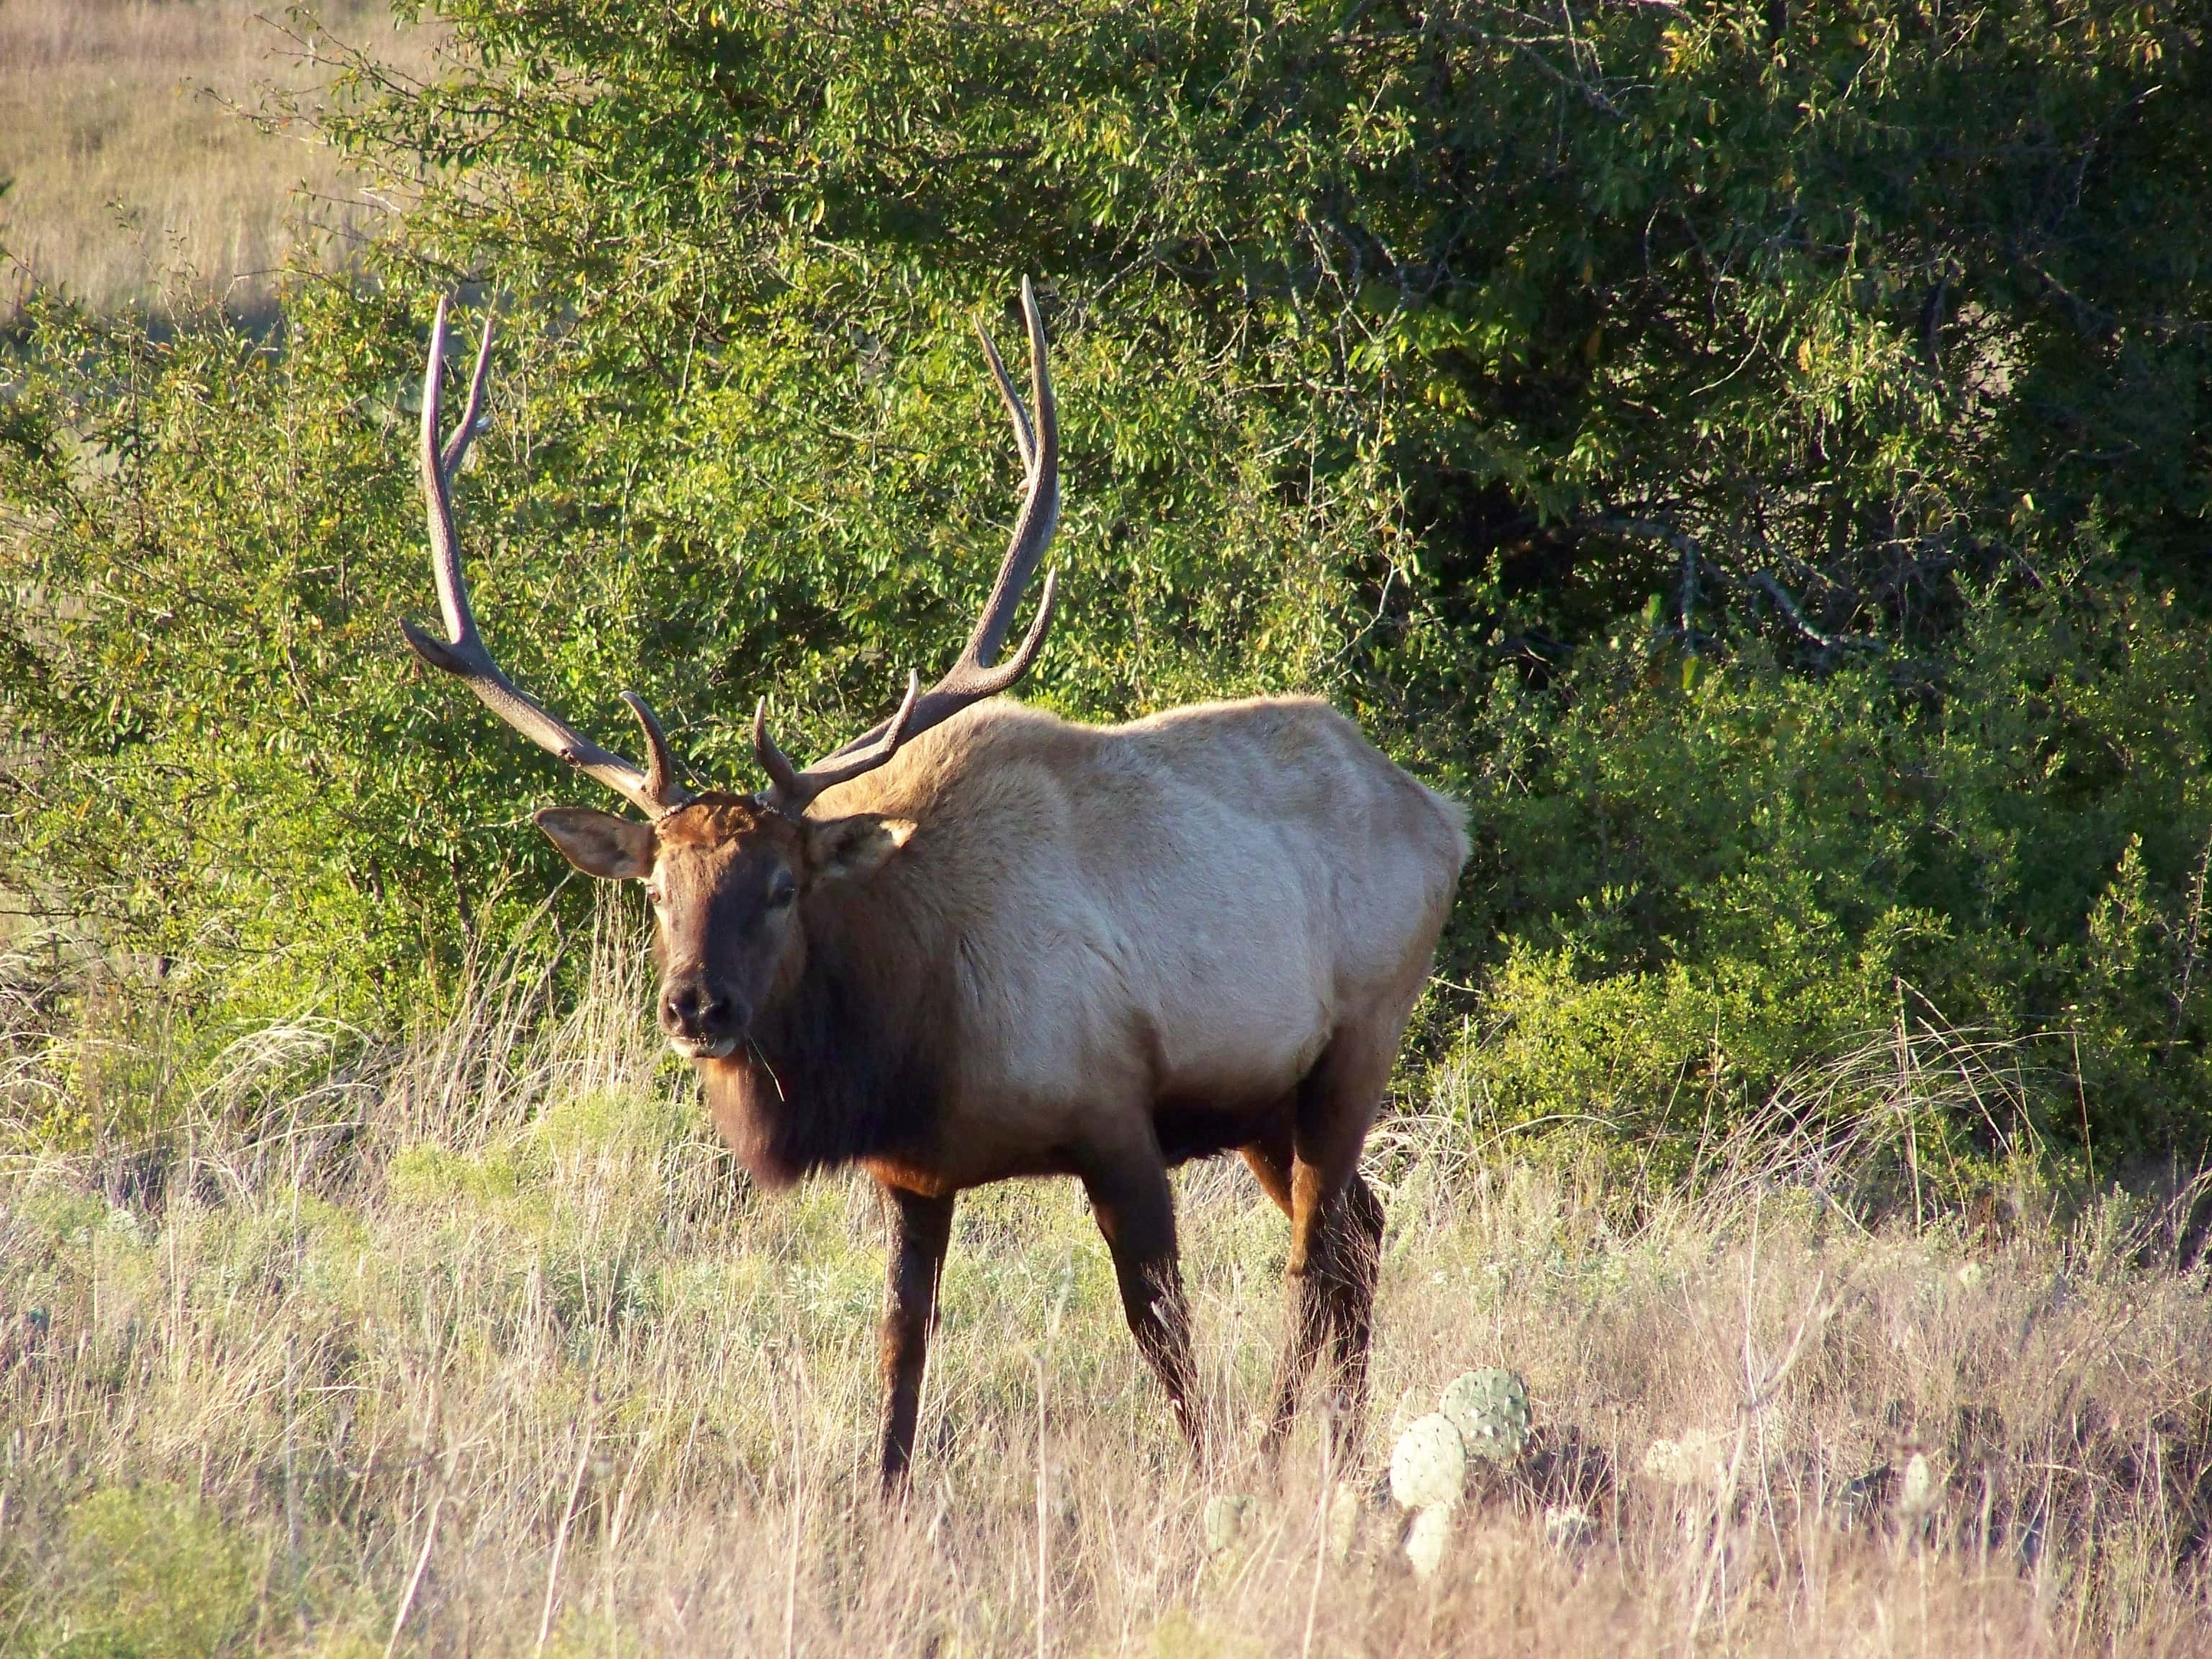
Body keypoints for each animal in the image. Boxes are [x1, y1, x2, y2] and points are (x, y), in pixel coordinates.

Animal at [403, 285, 1468, 1495]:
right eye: (657, 888)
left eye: (785, 885)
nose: (695, 1006)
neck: (914, 1026)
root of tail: (1445, 816)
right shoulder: (912, 1172)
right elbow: (901, 1348)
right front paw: (884, 1499)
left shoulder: (1116, 1115)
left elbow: (1162, 1333)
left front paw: (1209, 1478)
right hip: (1263, 1102)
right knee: (1361, 1230)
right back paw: (1345, 1443)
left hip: (1358, 1043)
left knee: (1316, 1252)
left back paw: (1290, 1445)